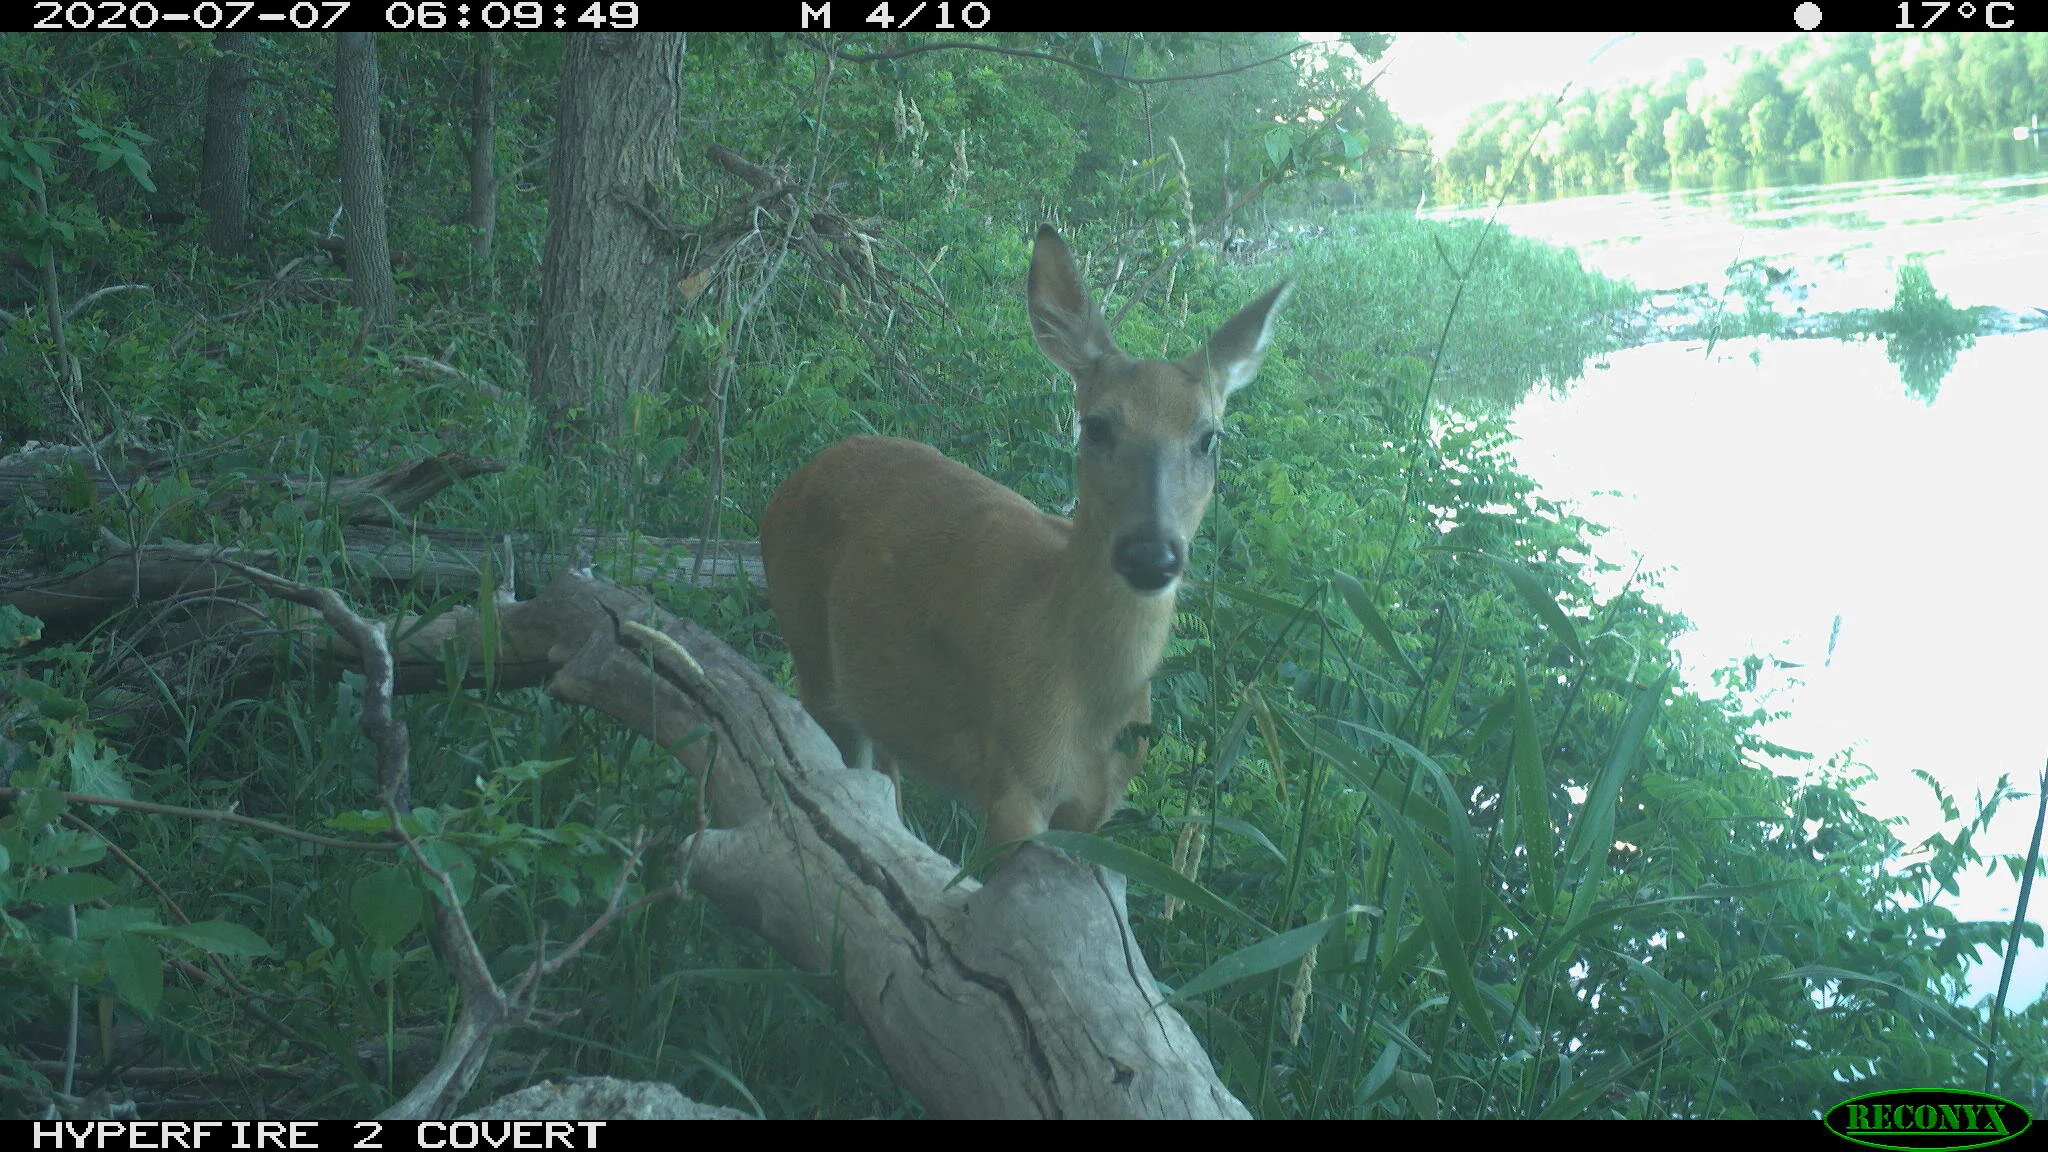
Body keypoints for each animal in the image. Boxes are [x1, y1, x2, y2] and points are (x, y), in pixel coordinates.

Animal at [759, 225, 1290, 851]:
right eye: (1096, 426)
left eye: (1209, 437)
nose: (1149, 555)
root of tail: (799, 475)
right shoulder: (1014, 782)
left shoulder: (1098, 806)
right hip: (807, 646)